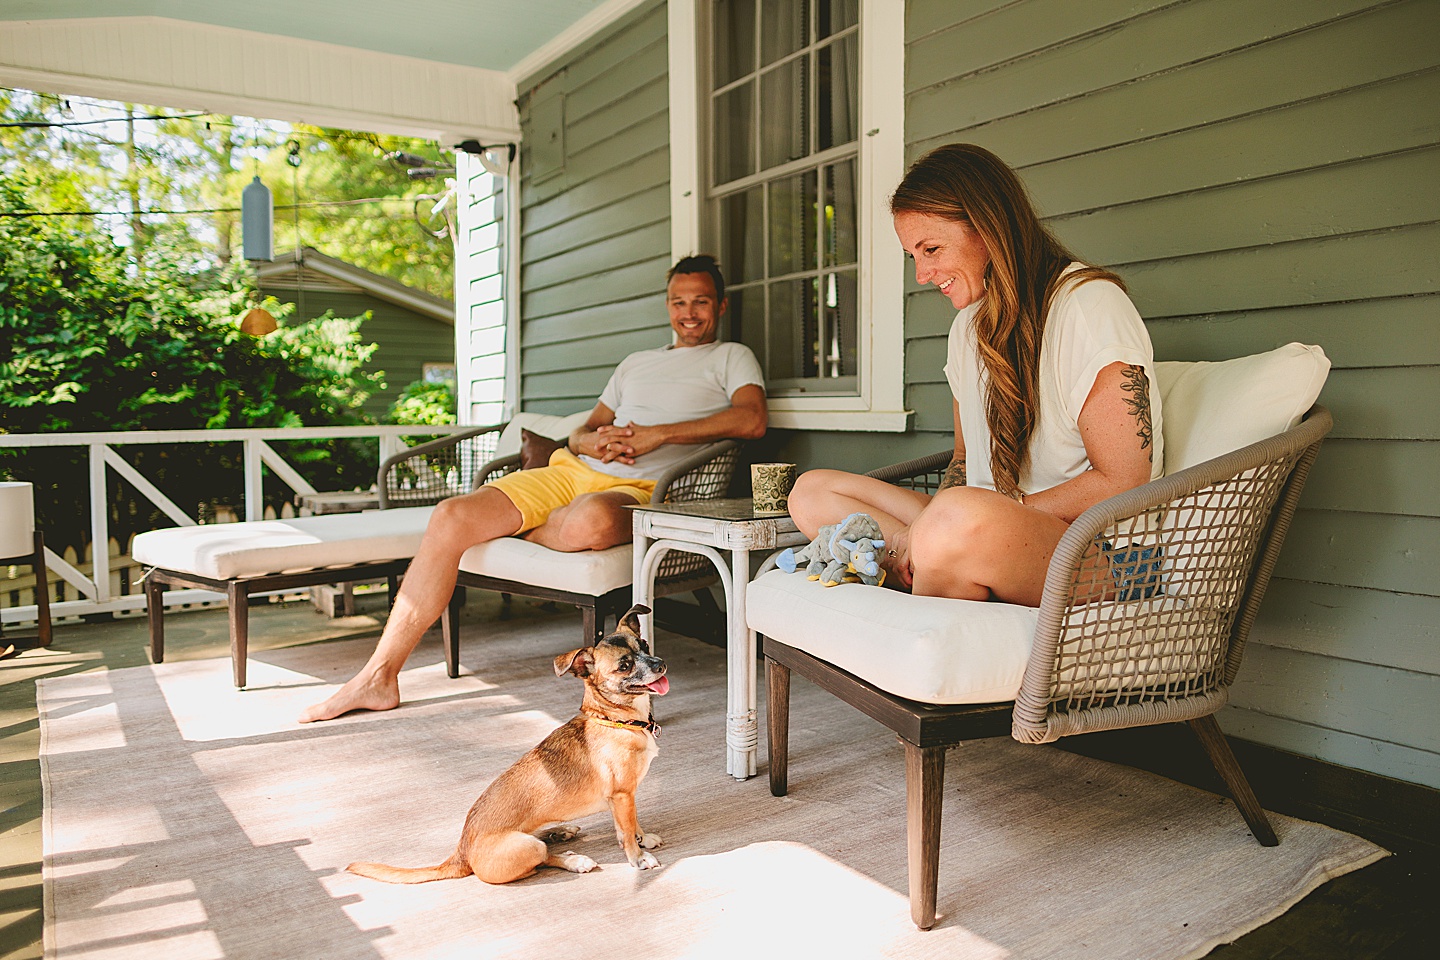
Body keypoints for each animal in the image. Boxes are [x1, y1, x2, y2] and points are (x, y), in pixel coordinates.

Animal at [348, 607, 668, 886]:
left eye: (645, 644)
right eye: (624, 666)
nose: (661, 664)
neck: (616, 719)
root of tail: (461, 852)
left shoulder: (626, 798)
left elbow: (631, 824)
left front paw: (643, 838)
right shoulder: (622, 795)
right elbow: (627, 830)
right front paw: (638, 857)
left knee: (544, 842)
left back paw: (559, 832)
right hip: (525, 847)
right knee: (544, 858)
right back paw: (575, 860)